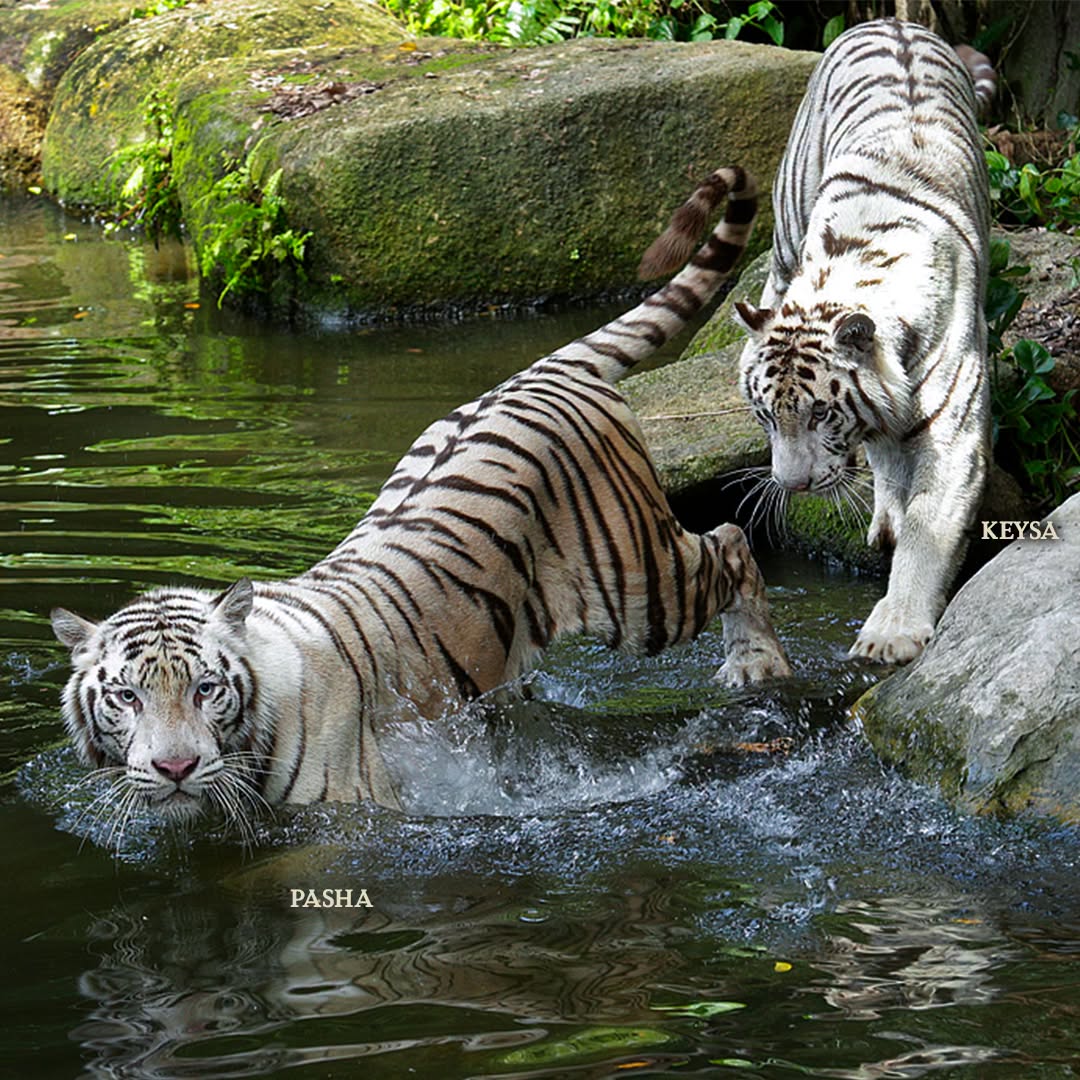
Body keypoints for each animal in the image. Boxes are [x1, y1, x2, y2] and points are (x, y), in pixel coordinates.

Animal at [50, 164, 791, 830]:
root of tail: (543, 369)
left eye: (206, 689)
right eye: (126, 696)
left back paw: (759, 666)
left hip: (638, 585)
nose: (174, 767)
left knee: (731, 543)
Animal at [647, 18, 994, 665]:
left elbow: (928, 527)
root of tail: (892, 20)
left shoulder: (954, 429)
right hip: (785, 224)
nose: (792, 486)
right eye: (764, 417)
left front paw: (891, 633)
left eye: (820, 414)